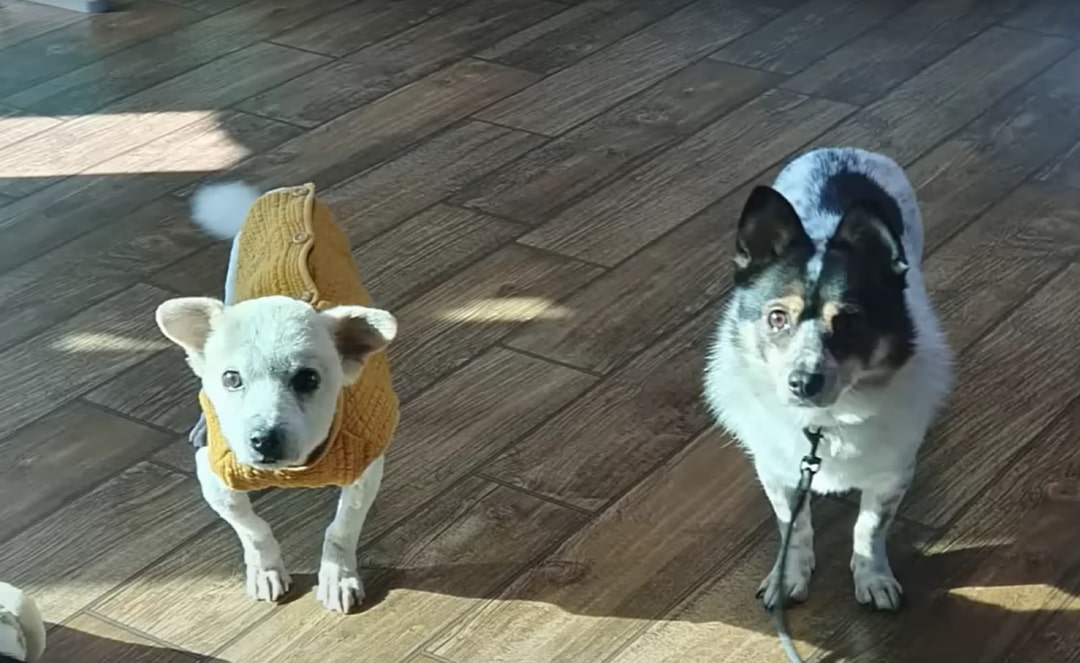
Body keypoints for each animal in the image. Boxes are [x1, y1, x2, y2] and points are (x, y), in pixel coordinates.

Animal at [154, 180, 399, 613]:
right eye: (231, 379)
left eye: (308, 379)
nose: (264, 440)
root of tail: (291, 191)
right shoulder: (217, 480)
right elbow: (253, 529)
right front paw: (264, 570)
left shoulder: (365, 470)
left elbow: (341, 528)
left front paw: (337, 577)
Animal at [708, 146, 954, 613]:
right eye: (776, 318)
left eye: (850, 323)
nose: (803, 382)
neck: (825, 425)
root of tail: (842, 150)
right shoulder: (780, 475)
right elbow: (794, 529)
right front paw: (789, 577)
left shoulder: (890, 477)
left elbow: (869, 529)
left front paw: (873, 578)